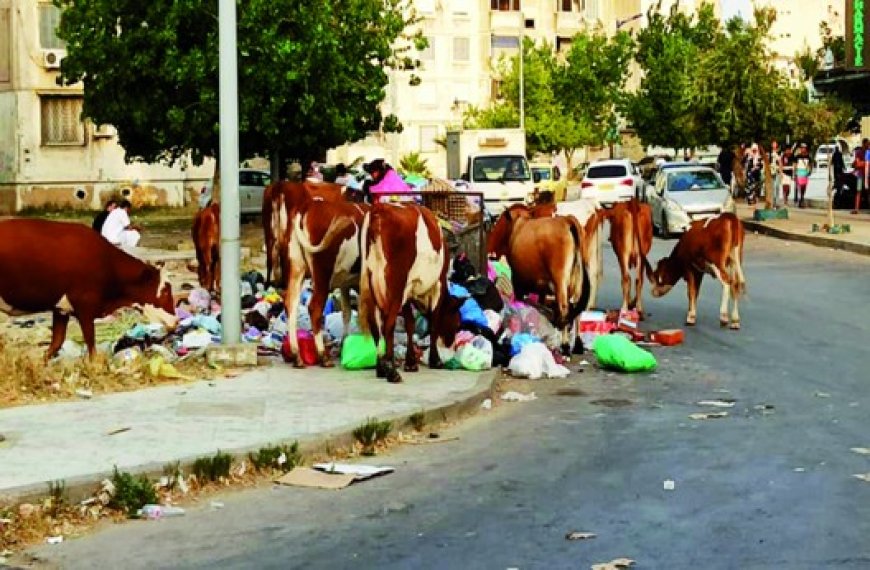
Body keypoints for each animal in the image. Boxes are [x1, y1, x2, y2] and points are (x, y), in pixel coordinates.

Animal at [0, 219, 178, 358]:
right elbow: (91, 347)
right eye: (166, 290)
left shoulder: (61, 308)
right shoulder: (85, 307)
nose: (176, 321)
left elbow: (56, 343)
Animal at [282, 200, 372, 366]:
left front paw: (344, 344)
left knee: (291, 303)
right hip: (322, 271)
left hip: (297, 266)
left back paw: (296, 354)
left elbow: (347, 312)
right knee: (315, 308)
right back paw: (323, 355)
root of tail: (308, 205)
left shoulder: (345, 282)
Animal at [356, 201, 464, 382]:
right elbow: (433, 322)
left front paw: (411, 362)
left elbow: (410, 323)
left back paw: (381, 368)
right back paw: (391, 371)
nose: (451, 343)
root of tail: (380, 208)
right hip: (395, 284)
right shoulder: (438, 283)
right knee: (388, 325)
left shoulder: (408, 289)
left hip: (370, 283)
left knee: (376, 326)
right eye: (457, 323)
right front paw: (435, 359)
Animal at [490, 202, 592, 352]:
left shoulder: (517, 279)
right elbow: (542, 301)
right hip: (577, 279)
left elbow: (520, 302)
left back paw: (565, 345)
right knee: (576, 310)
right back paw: (577, 344)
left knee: (564, 307)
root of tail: (567, 220)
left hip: (560, 278)